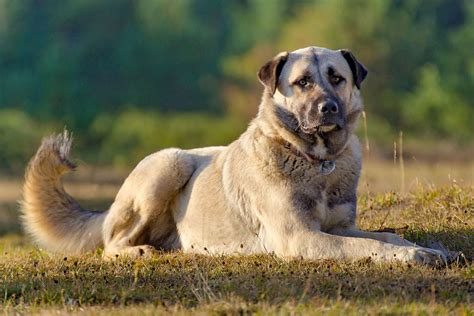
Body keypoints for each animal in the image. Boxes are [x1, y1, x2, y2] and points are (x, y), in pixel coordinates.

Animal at [20, 46, 446, 264]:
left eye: (336, 78)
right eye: (302, 82)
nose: (328, 108)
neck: (315, 161)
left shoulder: (338, 228)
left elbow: (387, 236)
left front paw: (427, 249)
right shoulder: (301, 238)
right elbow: (370, 247)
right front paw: (414, 256)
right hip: (170, 163)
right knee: (110, 245)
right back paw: (136, 251)